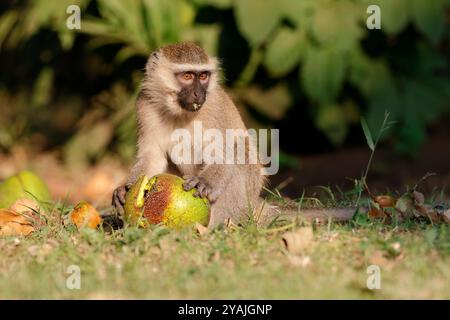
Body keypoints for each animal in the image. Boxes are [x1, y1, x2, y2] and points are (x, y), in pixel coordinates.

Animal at [111, 42, 352, 228]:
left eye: (203, 76)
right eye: (187, 76)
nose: (198, 93)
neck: (180, 112)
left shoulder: (214, 107)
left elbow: (223, 154)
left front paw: (204, 181)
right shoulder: (144, 105)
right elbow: (153, 157)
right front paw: (126, 188)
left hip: (243, 201)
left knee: (238, 152)